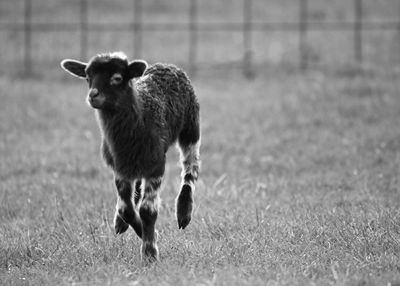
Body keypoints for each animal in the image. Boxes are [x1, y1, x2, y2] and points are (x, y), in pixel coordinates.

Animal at [59, 52, 202, 262]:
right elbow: (126, 209)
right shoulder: (120, 166)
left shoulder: (156, 164)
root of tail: (165, 65)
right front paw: (144, 232)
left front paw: (150, 252)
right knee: (133, 193)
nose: (93, 95)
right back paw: (120, 223)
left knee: (190, 167)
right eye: (87, 77)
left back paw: (184, 212)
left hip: (191, 127)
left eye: (117, 78)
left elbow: (147, 210)